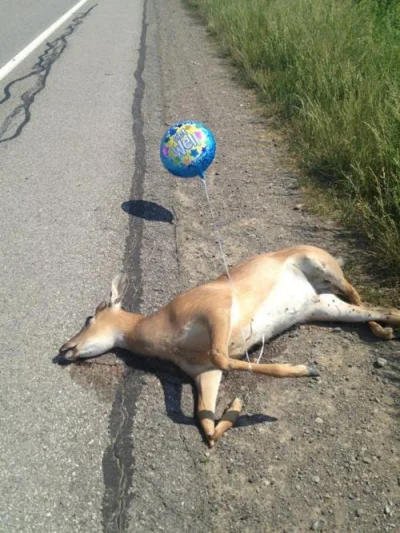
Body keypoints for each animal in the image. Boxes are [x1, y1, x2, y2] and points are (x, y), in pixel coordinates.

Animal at [57, 245, 398, 444]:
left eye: (89, 317)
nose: (63, 349)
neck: (163, 334)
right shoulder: (202, 372)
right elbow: (204, 423)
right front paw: (235, 406)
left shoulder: (216, 309)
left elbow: (223, 357)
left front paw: (307, 369)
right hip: (324, 306)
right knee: (383, 309)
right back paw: (383, 330)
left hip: (325, 268)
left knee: (355, 290)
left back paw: (379, 332)